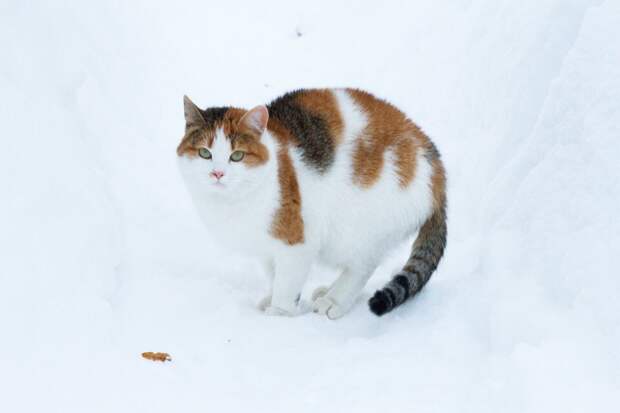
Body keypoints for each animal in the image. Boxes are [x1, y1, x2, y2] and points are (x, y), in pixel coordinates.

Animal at [176, 87, 446, 318]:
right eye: (204, 153)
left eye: (237, 156)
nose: (217, 173)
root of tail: (433, 159)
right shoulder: (268, 247)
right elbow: (275, 275)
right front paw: (274, 299)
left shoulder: (296, 241)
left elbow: (287, 283)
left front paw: (279, 313)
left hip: (361, 227)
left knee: (362, 267)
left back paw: (334, 300)